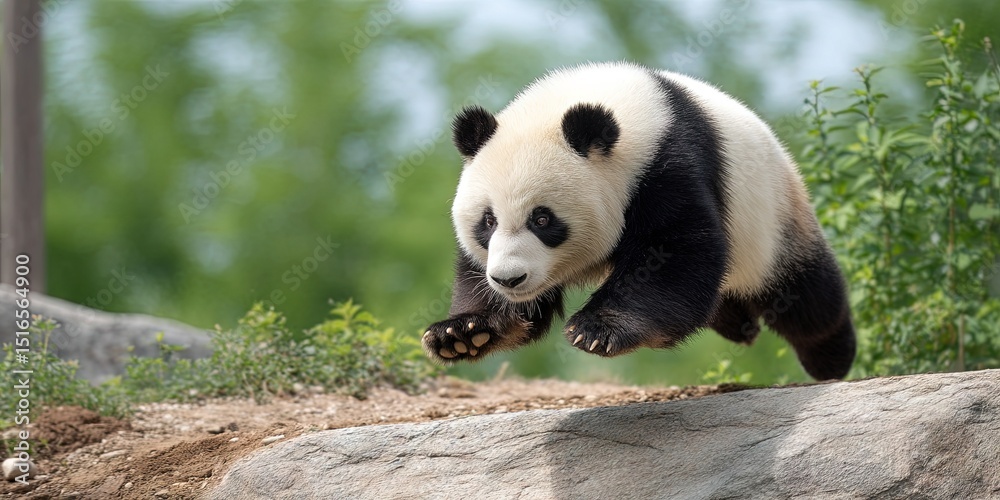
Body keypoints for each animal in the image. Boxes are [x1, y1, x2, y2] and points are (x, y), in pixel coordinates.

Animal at [422, 61, 856, 380]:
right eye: (488, 221)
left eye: (542, 219)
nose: (509, 280)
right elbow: (484, 285)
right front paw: (461, 333)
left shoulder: (668, 165)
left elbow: (675, 250)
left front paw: (597, 330)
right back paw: (737, 324)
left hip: (773, 219)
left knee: (805, 297)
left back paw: (832, 358)